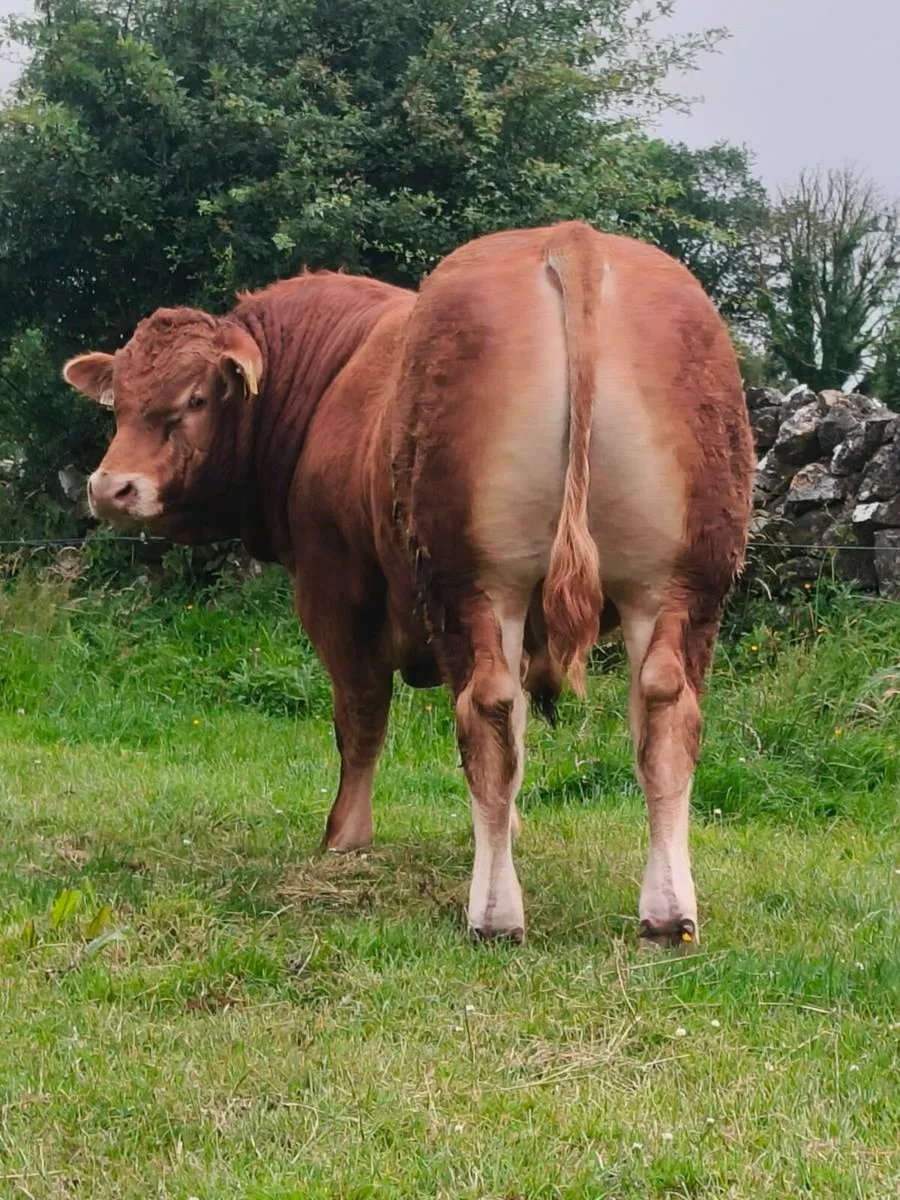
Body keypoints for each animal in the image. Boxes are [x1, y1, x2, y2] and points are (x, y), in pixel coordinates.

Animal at [63, 221, 753, 946]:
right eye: (119, 403)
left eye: (195, 397)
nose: (110, 487)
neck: (333, 376)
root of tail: (574, 240)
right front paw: (511, 825)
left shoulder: (334, 587)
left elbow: (361, 715)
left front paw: (345, 837)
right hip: (681, 584)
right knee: (663, 712)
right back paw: (668, 913)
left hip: (472, 580)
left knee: (486, 709)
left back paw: (494, 914)